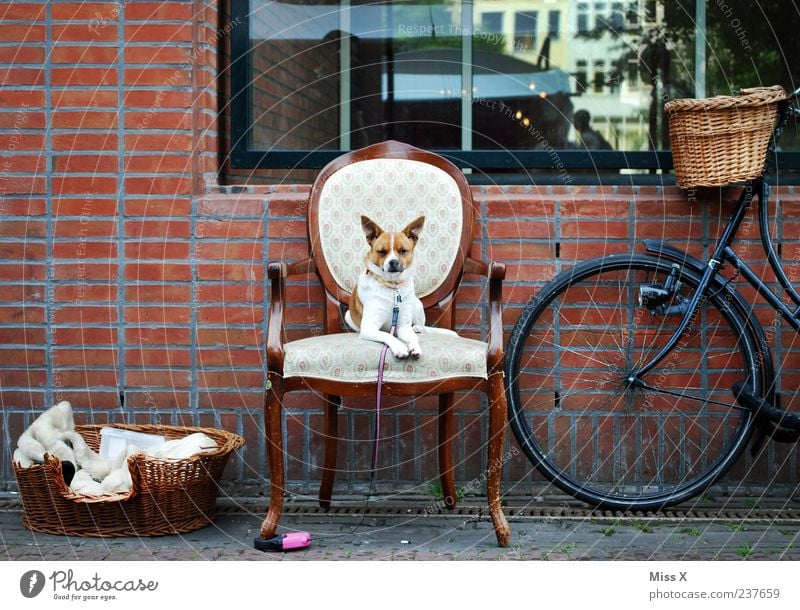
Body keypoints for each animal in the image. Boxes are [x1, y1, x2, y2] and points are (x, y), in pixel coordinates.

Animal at [346, 213, 456, 356]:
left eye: (403, 250)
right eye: (382, 251)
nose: (393, 262)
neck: (393, 287)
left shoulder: (403, 327)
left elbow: (412, 337)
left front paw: (415, 346)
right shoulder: (369, 328)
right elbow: (387, 335)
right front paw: (399, 347)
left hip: (417, 304)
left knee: (420, 324)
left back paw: (417, 328)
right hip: (347, 315)